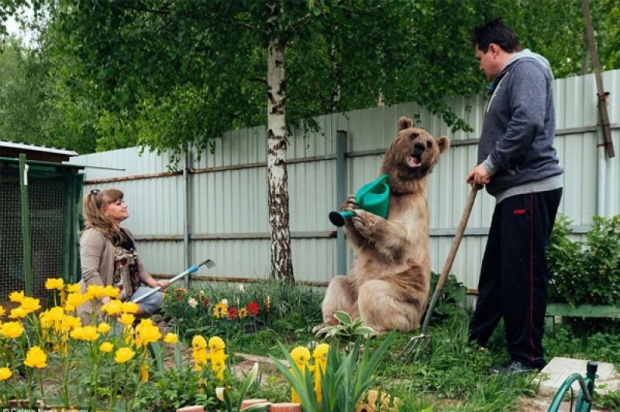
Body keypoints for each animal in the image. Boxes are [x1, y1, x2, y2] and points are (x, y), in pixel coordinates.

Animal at [320, 116, 450, 332]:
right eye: (413, 134)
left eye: (430, 143)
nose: (420, 147)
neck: (398, 188)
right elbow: (361, 242)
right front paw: (349, 204)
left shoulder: (413, 206)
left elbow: (404, 238)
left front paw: (367, 218)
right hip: (353, 288)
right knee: (337, 284)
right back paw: (327, 325)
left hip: (402, 296)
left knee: (373, 292)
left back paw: (371, 330)